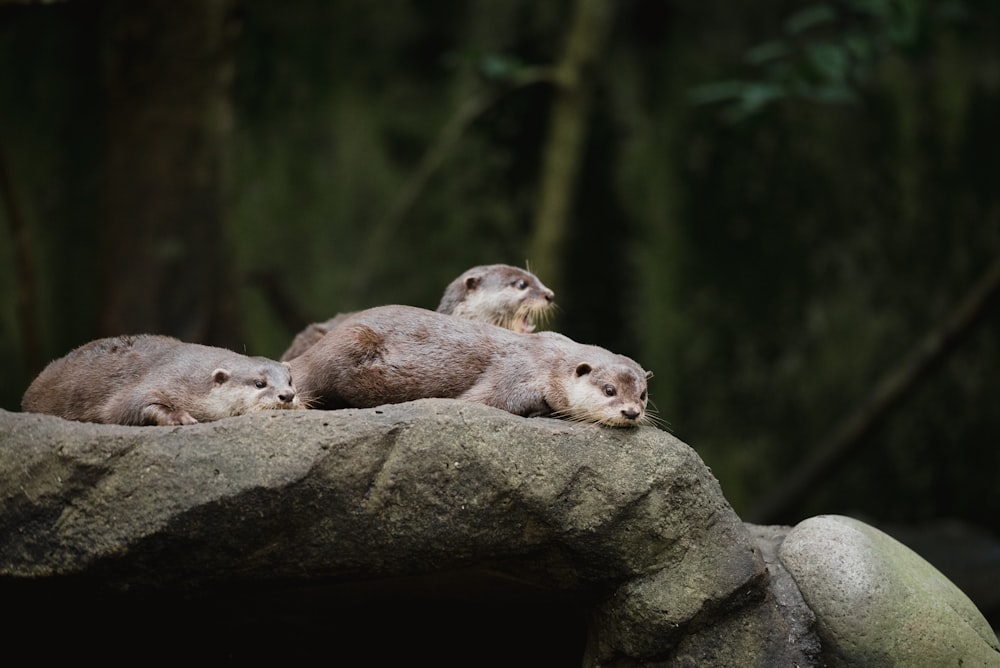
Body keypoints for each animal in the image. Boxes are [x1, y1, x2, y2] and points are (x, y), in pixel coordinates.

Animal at [22, 334, 300, 428]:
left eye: (290, 381)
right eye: (259, 383)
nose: (287, 396)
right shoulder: (158, 379)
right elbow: (129, 408)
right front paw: (180, 417)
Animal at [286, 304, 652, 428]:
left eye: (643, 395)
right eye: (609, 390)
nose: (631, 412)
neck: (548, 361)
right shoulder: (515, 374)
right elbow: (486, 400)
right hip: (347, 347)